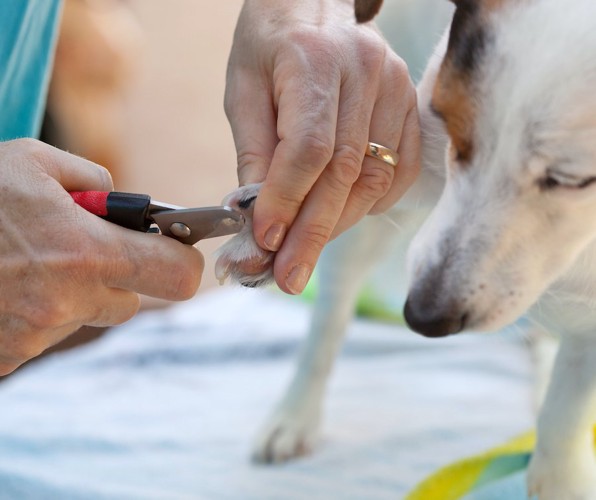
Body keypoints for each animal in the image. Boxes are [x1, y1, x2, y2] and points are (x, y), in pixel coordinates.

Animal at [217, 0, 596, 496]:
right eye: (455, 132)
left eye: (572, 179)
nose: (423, 317)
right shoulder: (413, 142)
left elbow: (567, 408)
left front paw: (559, 477)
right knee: (328, 323)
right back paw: (294, 413)